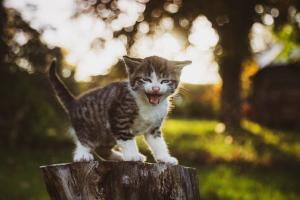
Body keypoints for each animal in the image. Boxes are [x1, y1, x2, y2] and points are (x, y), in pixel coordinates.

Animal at [48, 55, 191, 164]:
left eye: (164, 81)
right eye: (146, 79)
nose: (155, 88)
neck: (148, 105)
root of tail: (75, 102)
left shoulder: (154, 127)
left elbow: (158, 143)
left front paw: (165, 158)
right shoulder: (118, 117)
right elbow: (126, 138)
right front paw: (132, 155)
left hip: (107, 135)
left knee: (103, 149)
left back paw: (118, 157)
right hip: (88, 125)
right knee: (84, 139)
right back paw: (82, 155)